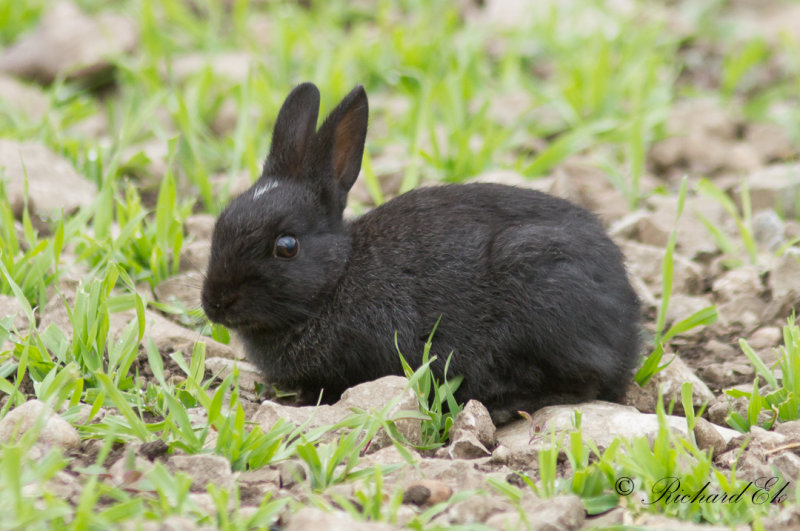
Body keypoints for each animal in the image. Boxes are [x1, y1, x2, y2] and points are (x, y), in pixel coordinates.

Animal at [203, 82, 640, 424]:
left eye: (286, 246)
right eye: (220, 223)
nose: (215, 304)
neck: (338, 277)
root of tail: (628, 330)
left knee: (584, 383)